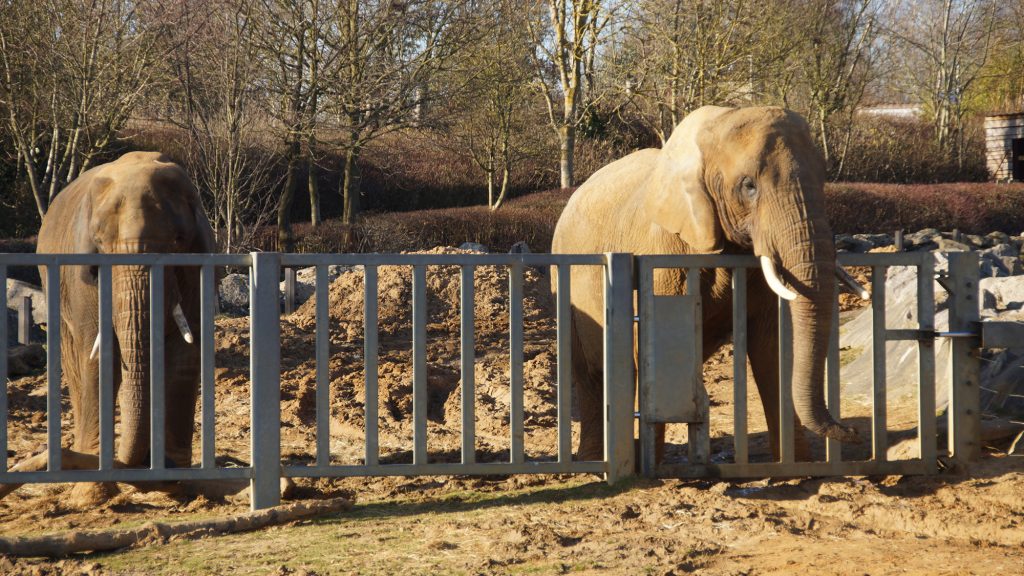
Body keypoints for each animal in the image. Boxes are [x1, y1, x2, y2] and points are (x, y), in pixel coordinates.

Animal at [557, 104, 860, 461]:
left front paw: (798, 464)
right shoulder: (664, 254)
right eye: (749, 186)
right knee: (590, 373)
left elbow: (770, 346)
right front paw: (655, 466)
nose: (851, 432)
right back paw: (594, 460)